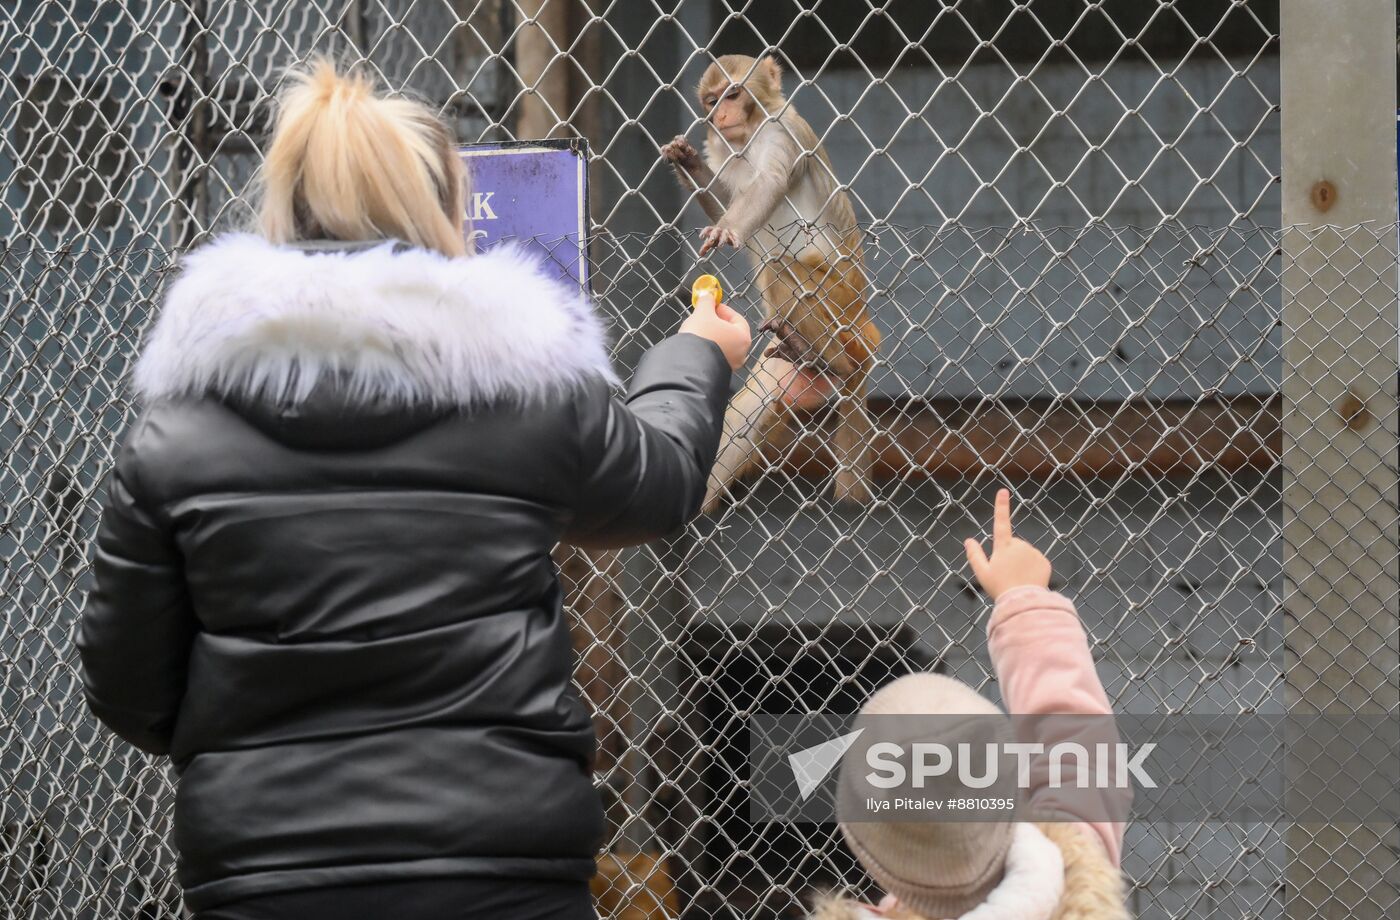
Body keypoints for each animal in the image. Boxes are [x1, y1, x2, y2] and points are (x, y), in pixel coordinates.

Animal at [660, 52, 879, 509]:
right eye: (711, 100)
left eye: (733, 93)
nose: (719, 115)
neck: (747, 138)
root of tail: (862, 317)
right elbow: (728, 196)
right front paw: (687, 160)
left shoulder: (782, 132)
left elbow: (769, 183)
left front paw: (727, 230)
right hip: (782, 360)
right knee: (745, 416)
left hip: (838, 301)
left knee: (780, 267)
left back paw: (832, 361)